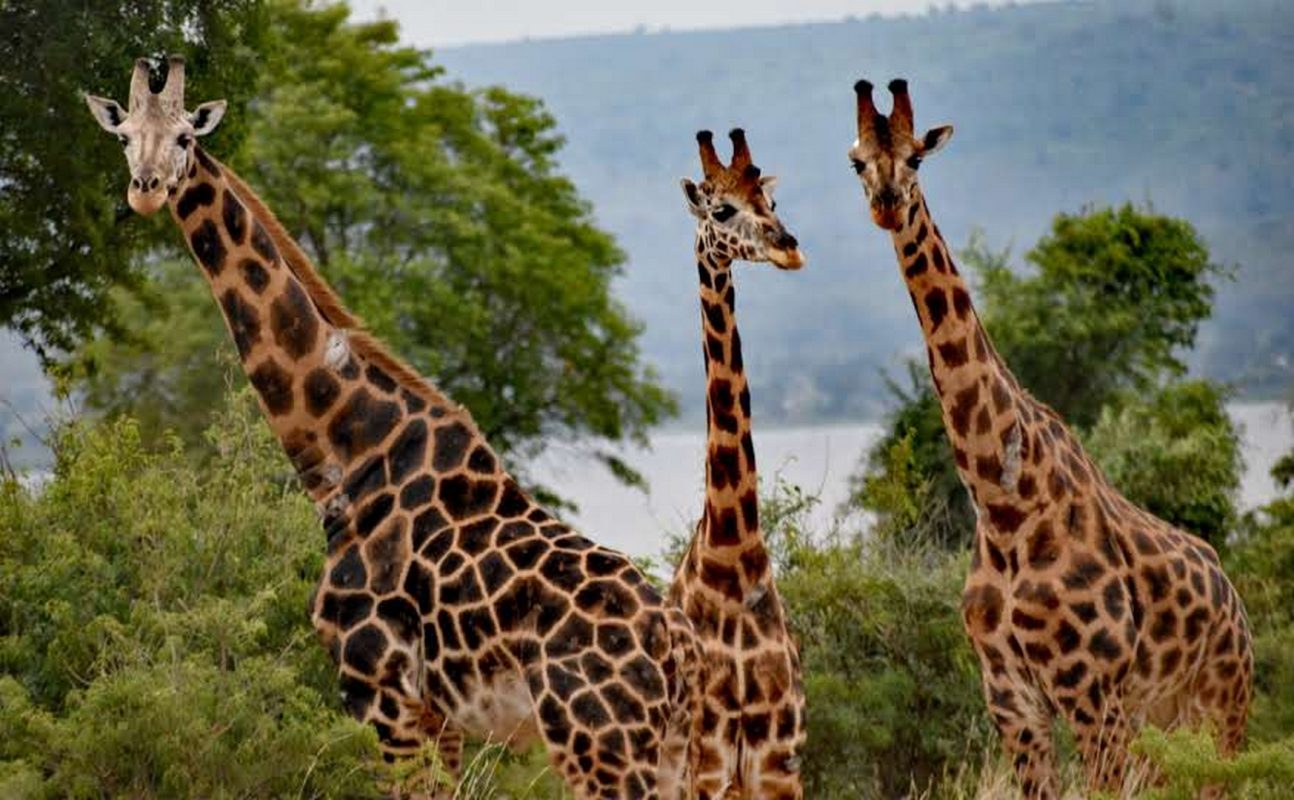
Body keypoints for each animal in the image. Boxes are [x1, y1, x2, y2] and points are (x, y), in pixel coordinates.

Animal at [84, 55, 703, 797]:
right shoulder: (435, 715)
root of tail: (681, 656)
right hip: (667, 753)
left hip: (601, 747)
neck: (351, 453)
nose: (146, 190)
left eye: (183, 137)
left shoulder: (379, 691)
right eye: (124, 137)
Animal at [843, 77, 1247, 792]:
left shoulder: (1092, 694)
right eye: (858, 162)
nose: (887, 205)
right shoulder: (1011, 697)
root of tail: (1238, 605)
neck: (1004, 502)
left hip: (1220, 711)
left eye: (916, 158)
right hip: (1161, 727)